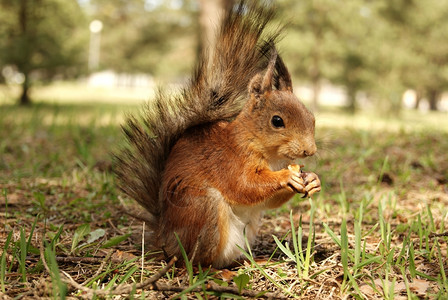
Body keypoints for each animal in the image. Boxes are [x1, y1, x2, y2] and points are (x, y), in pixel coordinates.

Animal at [114, 1, 318, 268]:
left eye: (312, 117)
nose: (310, 150)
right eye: (277, 121)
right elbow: (244, 186)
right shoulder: (227, 160)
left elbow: (267, 201)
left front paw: (313, 179)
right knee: (194, 260)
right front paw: (286, 177)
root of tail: (163, 238)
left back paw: (254, 261)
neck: (269, 154)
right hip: (202, 208)